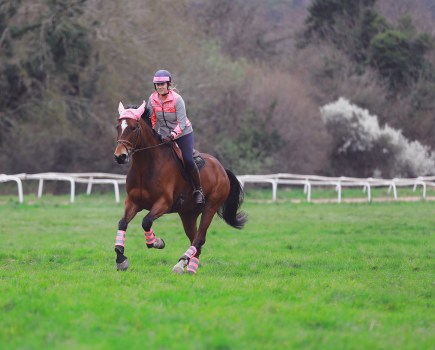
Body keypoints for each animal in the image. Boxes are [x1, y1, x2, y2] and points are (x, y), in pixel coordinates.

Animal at [113, 101, 249, 274]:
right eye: (118, 126)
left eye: (134, 128)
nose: (120, 156)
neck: (146, 166)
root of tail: (222, 169)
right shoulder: (132, 202)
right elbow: (122, 223)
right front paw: (121, 259)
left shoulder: (163, 203)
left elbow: (146, 221)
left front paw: (157, 242)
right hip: (188, 214)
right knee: (195, 238)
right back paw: (190, 266)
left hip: (210, 207)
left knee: (200, 237)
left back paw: (181, 263)